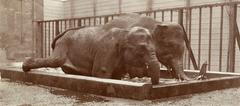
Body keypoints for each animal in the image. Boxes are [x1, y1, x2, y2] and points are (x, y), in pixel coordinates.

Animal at [22, 26, 161, 84]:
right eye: (142, 49)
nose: (153, 85)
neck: (125, 32)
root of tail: (62, 34)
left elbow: (116, 76)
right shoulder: (107, 50)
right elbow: (101, 73)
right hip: (63, 45)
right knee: (55, 60)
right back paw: (25, 65)